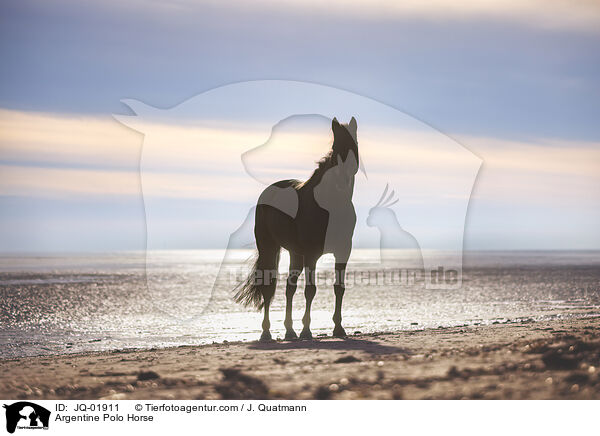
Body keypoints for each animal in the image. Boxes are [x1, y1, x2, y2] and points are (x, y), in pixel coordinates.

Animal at [234, 117, 358, 342]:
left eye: (355, 144)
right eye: (336, 146)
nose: (345, 175)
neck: (331, 205)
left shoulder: (343, 251)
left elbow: (339, 288)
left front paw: (338, 328)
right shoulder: (312, 254)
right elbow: (310, 290)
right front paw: (306, 331)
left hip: (295, 253)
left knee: (289, 288)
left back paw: (289, 331)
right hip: (269, 248)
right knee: (269, 287)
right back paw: (266, 332)